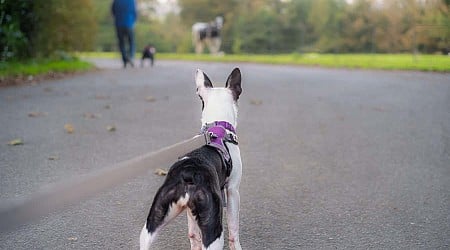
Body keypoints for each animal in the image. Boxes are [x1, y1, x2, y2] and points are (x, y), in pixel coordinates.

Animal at [140, 68, 243, 250]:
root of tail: (188, 174)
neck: (218, 127)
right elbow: (234, 229)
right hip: (213, 229)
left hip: (151, 224)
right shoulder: (232, 191)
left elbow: (193, 234)